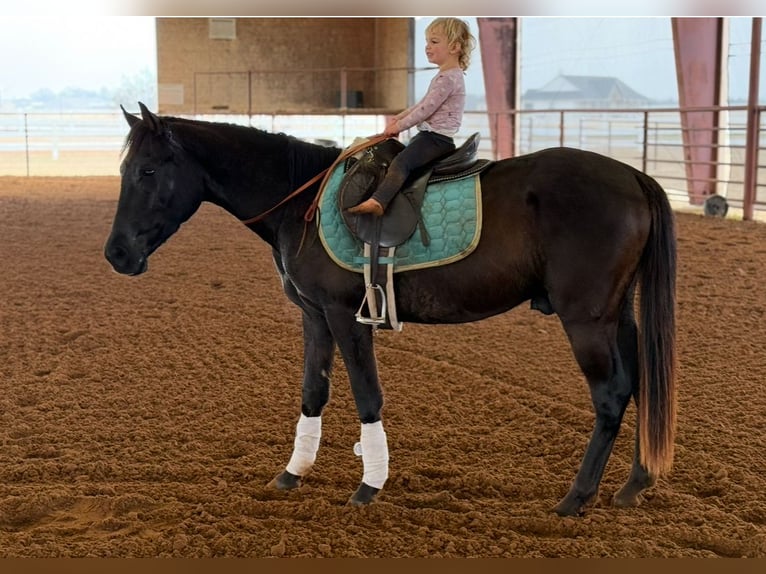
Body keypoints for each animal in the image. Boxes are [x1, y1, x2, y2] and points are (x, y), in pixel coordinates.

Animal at [105, 103, 676, 516]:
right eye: (126, 169)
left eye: (148, 170)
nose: (116, 255)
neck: (300, 203)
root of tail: (634, 177)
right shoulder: (314, 315)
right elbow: (314, 391)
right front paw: (293, 473)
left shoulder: (345, 315)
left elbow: (366, 395)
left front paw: (369, 485)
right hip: (619, 316)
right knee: (641, 384)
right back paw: (634, 485)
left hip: (586, 319)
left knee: (610, 395)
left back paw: (575, 499)